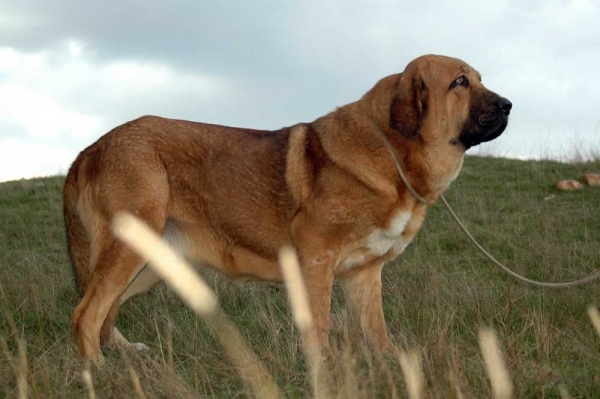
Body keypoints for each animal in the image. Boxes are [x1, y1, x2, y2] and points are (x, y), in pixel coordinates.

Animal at [62, 54, 510, 364]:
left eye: (480, 79)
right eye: (460, 82)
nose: (508, 105)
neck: (392, 153)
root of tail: (89, 150)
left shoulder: (364, 275)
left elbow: (376, 330)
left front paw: (392, 364)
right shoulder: (315, 260)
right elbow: (321, 326)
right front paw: (324, 368)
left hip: (147, 262)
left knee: (104, 313)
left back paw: (124, 355)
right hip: (128, 249)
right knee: (86, 313)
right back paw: (98, 369)